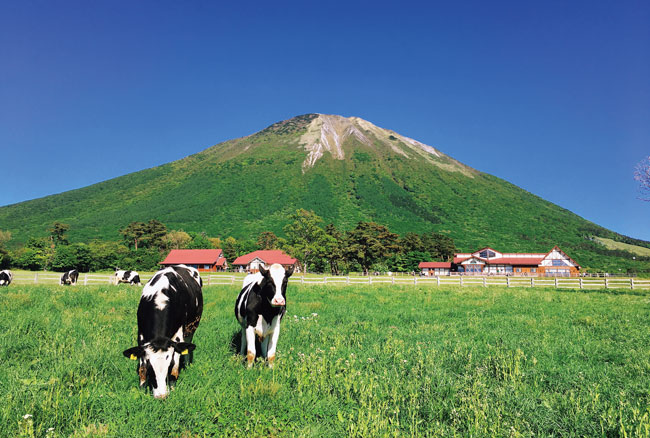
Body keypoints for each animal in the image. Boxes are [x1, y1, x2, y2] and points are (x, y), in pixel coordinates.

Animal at [121, 266, 202, 398]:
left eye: (169, 366)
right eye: (150, 367)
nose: (161, 396)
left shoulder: (178, 336)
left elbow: (176, 367)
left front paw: (172, 387)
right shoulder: (141, 335)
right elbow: (141, 368)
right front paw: (142, 389)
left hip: (192, 328)